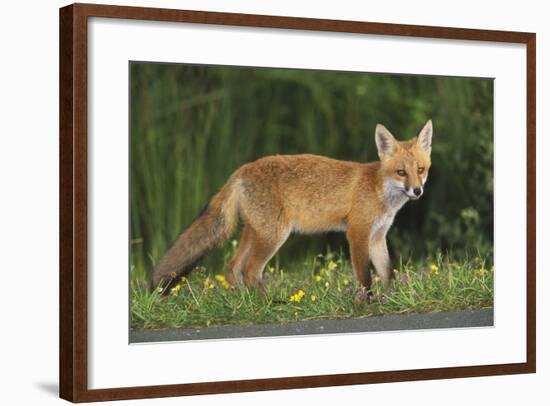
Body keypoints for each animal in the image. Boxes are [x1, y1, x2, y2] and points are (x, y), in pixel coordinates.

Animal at [152, 119, 436, 294]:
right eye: (401, 172)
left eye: (420, 170)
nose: (417, 191)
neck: (379, 190)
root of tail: (242, 169)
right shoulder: (357, 232)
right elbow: (364, 276)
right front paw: (364, 304)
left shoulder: (377, 236)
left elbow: (387, 273)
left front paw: (391, 299)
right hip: (274, 235)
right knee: (250, 270)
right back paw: (268, 305)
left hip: (256, 231)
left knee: (233, 268)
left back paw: (242, 303)